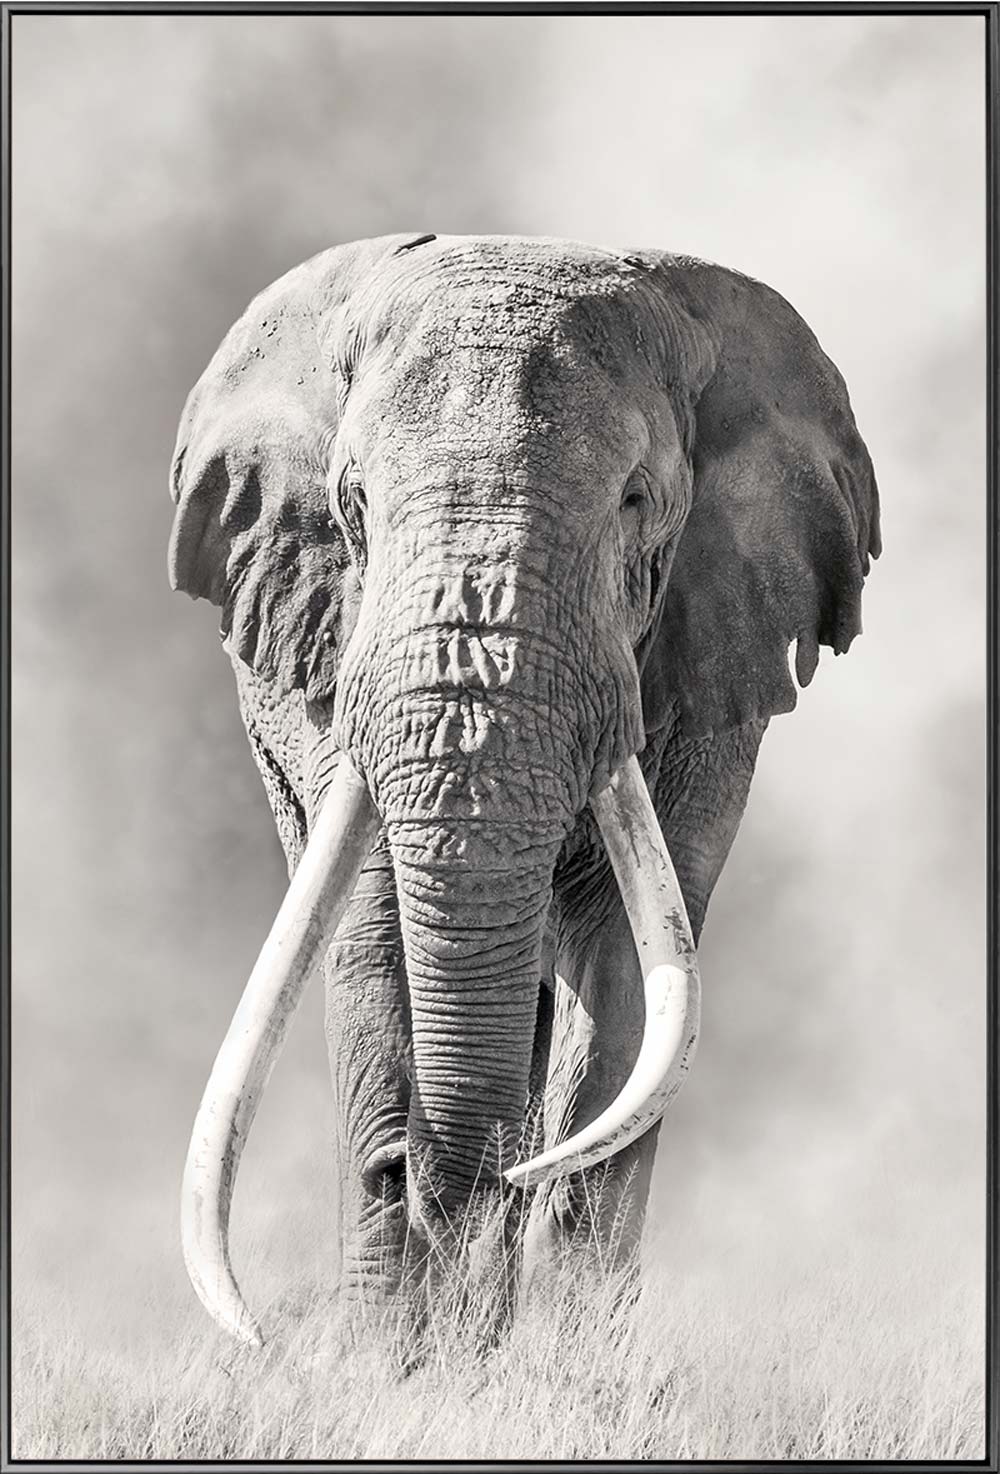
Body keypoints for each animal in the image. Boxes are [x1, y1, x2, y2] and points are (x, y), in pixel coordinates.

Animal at [169, 233, 879, 1350]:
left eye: (636, 501)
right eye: (353, 503)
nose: (419, 1171)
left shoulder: (707, 665)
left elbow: (629, 962)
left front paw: (563, 1357)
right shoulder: (331, 655)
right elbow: (371, 927)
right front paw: (390, 1358)